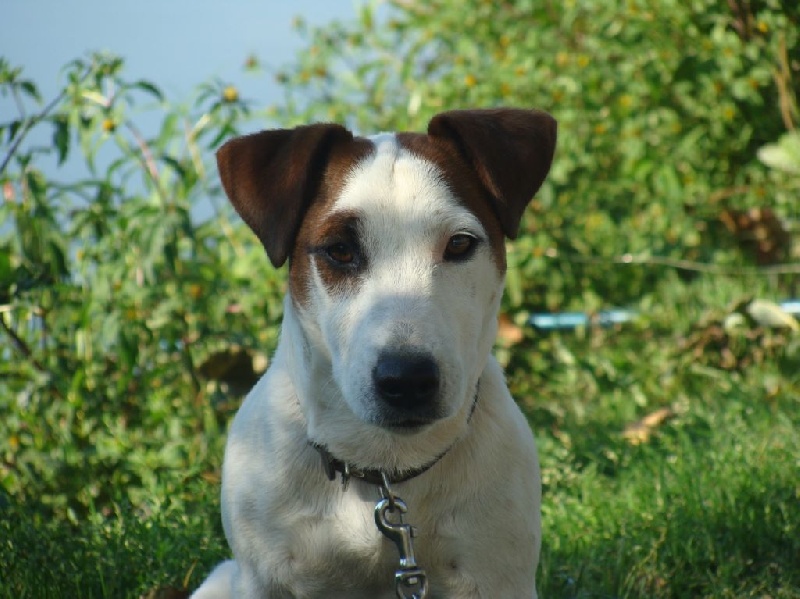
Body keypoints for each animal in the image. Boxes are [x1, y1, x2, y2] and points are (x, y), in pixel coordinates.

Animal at [192, 108, 556, 599]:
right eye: (340, 250)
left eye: (460, 243)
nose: (408, 380)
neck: (384, 470)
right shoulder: (263, 578)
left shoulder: (497, 575)